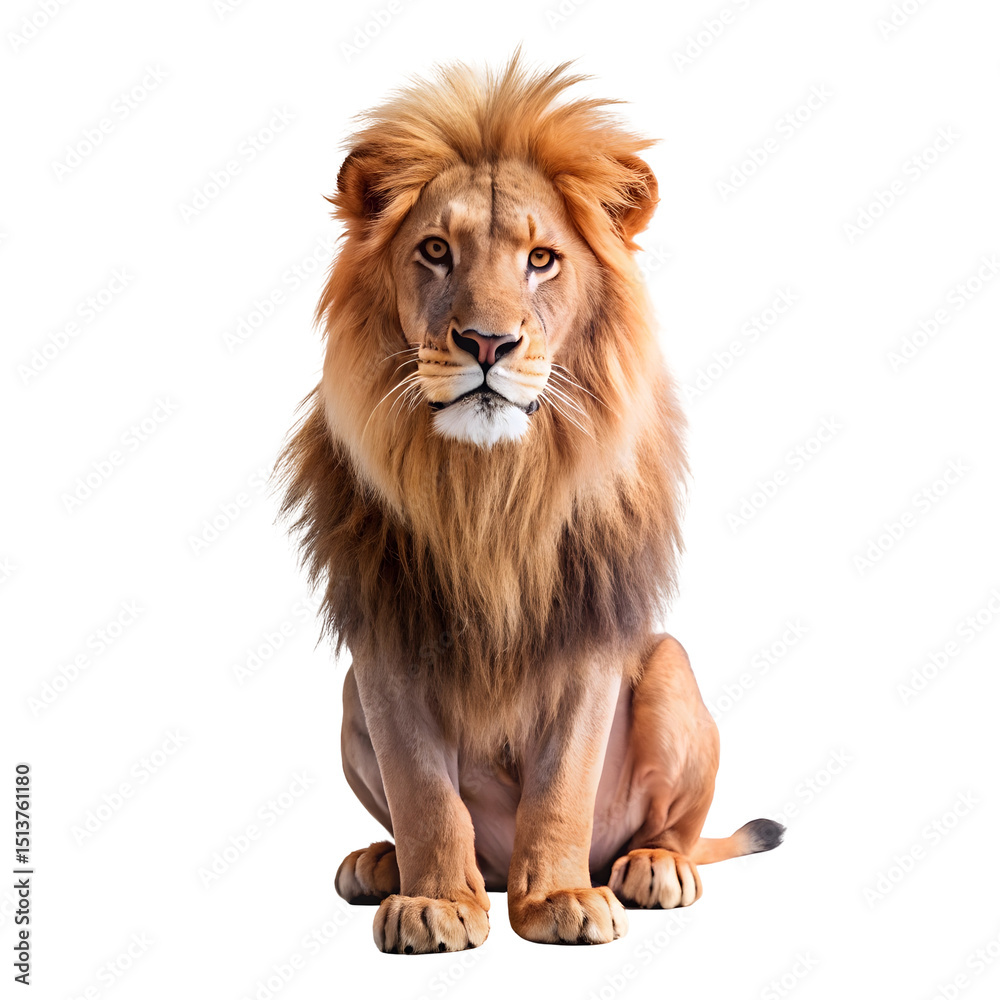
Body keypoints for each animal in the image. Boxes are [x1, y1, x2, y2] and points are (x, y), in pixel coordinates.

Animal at [278, 55, 783, 953]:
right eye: (435, 251)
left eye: (542, 259)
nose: (488, 343)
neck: (490, 489)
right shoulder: (387, 640)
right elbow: (423, 793)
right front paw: (433, 902)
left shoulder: (586, 634)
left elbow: (561, 788)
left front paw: (558, 900)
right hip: (348, 702)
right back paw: (384, 864)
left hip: (668, 665)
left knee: (672, 829)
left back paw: (650, 869)